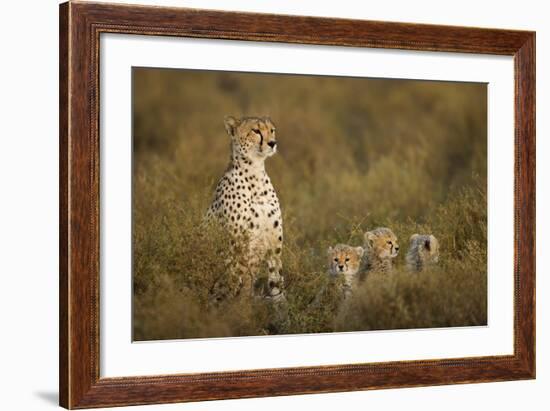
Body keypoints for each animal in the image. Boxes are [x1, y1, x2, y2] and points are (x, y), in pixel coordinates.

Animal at [206, 114, 284, 300]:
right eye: (256, 131)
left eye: (272, 130)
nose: (273, 143)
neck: (255, 173)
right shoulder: (237, 244)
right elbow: (236, 280)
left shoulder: (274, 245)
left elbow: (277, 283)